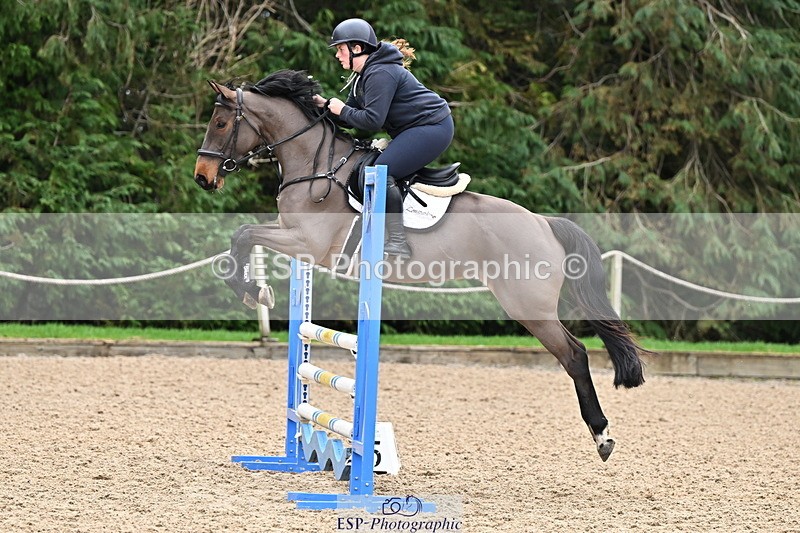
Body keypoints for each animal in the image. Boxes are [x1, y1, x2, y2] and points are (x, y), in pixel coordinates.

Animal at [193, 69, 648, 462]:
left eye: (220, 123)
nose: (202, 178)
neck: (316, 165)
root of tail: (543, 223)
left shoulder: (308, 242)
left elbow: (243, 235)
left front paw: (255, 291)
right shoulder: (295, 239)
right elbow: (242, 235)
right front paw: (256, 290)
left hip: (528, 306)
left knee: (575, 355)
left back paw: (602, 435)